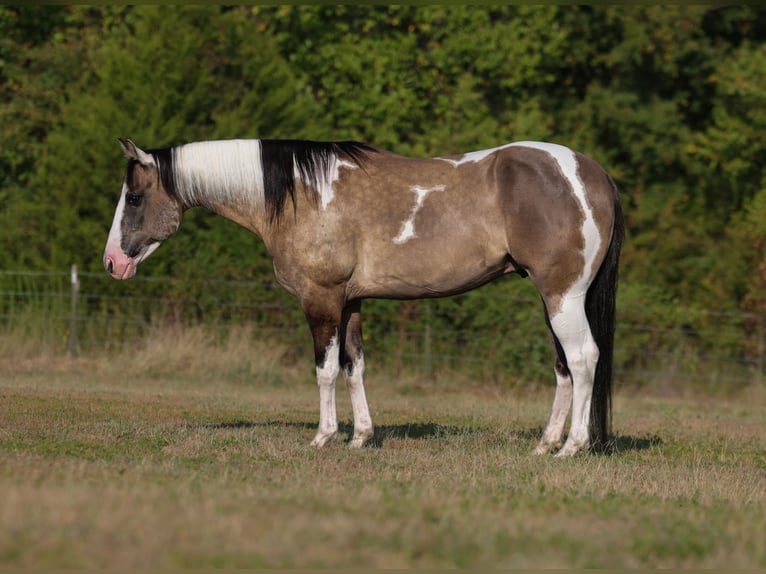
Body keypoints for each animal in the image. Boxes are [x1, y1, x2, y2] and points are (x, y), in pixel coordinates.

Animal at [104, 137, 624, 456]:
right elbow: (355, 367)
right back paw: (546, 443)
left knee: (583, 358)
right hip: (553, 299)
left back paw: (572, 447)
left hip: (563, 295)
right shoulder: (350, 302)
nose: (113, 262)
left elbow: (326, 370)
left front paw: (323, 436)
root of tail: (589, 172)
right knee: (563, 366)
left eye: (134, 197)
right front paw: (361, 437)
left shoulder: (321, 299)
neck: (301, 194)